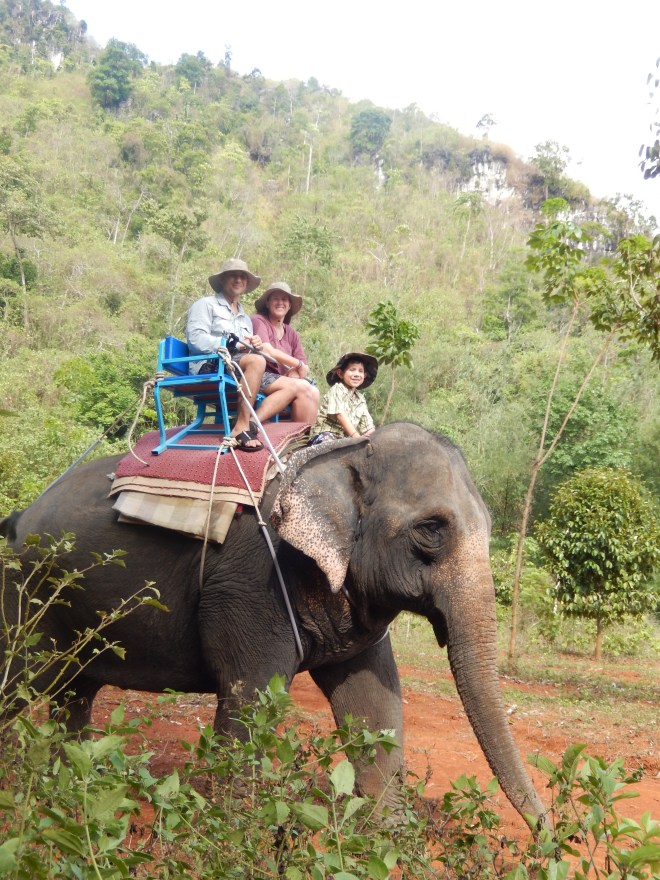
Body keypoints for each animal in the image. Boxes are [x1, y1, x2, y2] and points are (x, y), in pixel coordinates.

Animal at [0, 422, 546, 828]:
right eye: (431, 530)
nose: (547, 834)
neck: (342, 456)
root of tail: (19, 517)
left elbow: (374, 700)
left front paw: (388, 836)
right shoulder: (252, 581)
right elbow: (251, 697)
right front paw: (235, 832)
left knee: (74, 691)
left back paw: (66, 788)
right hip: (26, 592)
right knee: (19, 681)